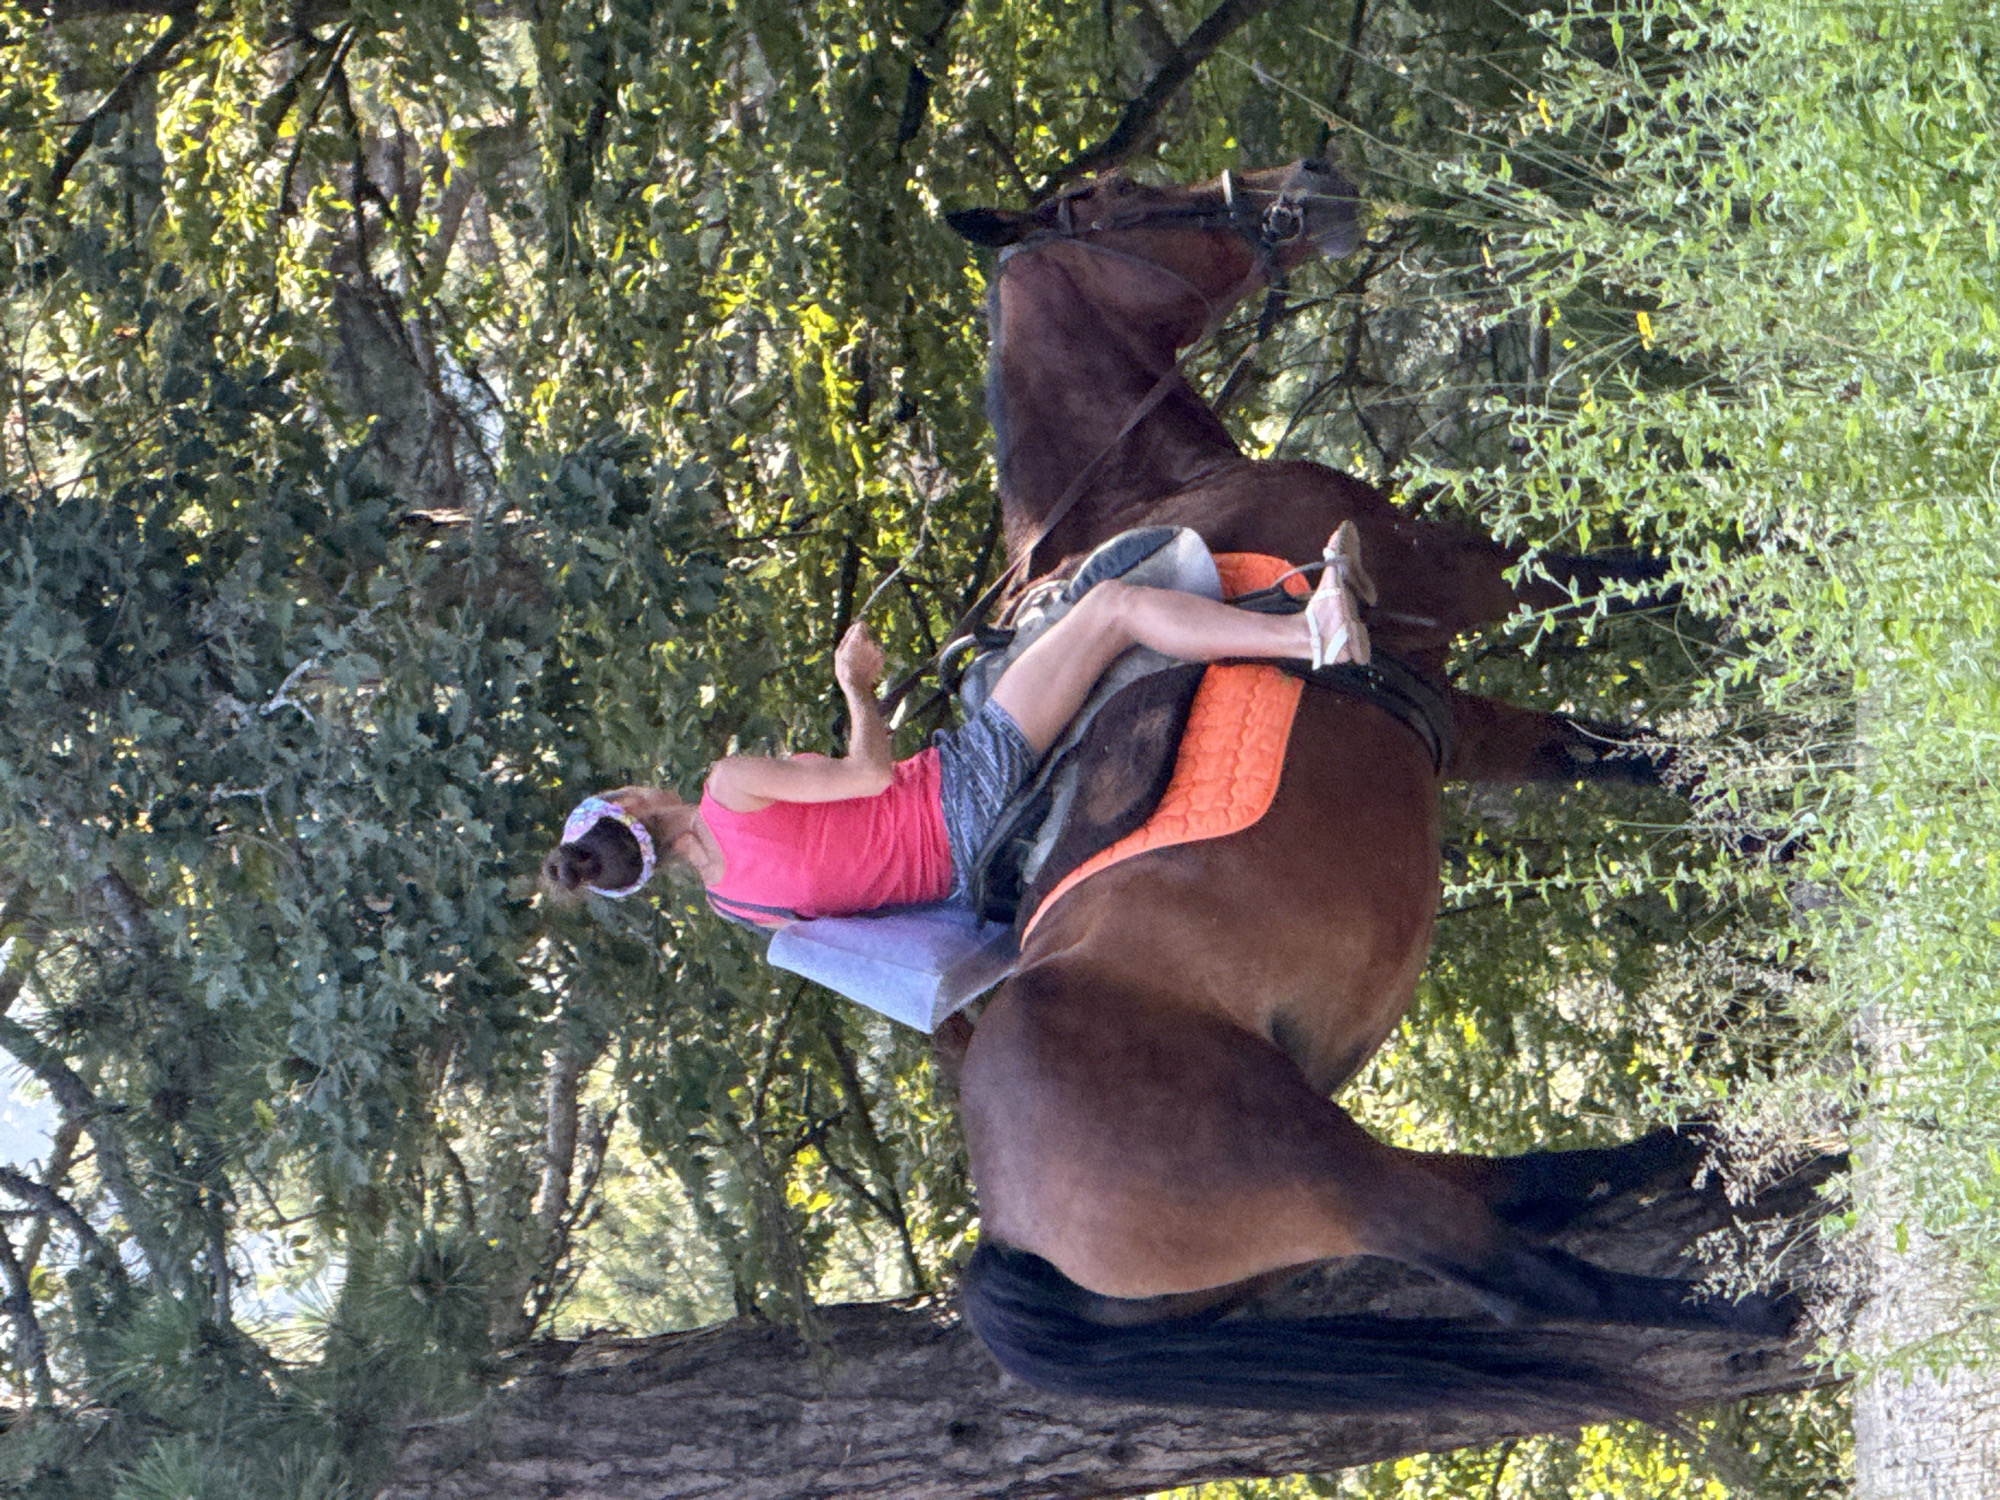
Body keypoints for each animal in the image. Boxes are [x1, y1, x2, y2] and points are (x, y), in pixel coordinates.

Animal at [940, 160, 1792, 1417]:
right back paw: (1757, 1306)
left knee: (1527, 1184)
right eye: (1121, 192)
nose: (1306, 181)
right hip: (1319, 1171)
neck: (1158, 495)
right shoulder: (1452, 570)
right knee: (1523, 1277)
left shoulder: (1458, 716)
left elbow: (1622, 754)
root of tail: (1005, 1229)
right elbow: (1627, 573)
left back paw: (1701, 1146)